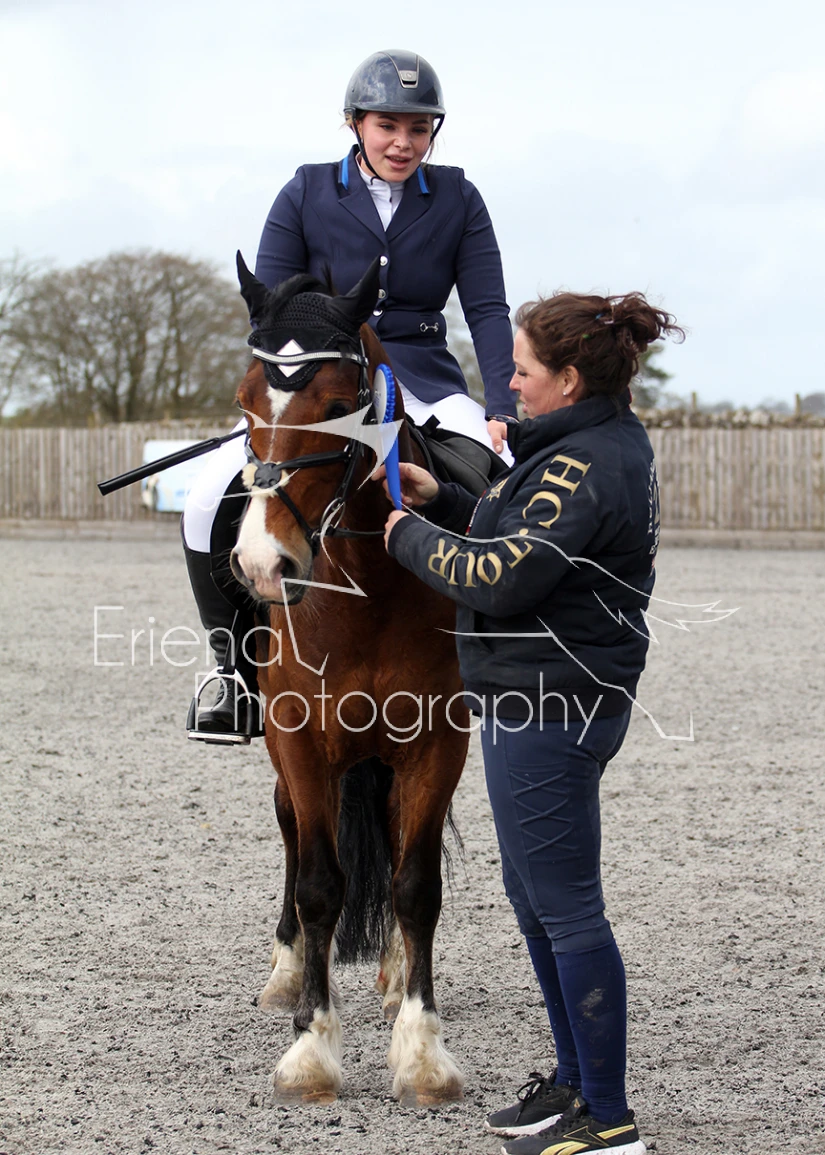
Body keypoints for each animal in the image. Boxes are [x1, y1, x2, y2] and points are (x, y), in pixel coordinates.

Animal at [227, 253, 470, 1105]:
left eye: (339, 408)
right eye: (244, 402)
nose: (263, 564)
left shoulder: (437, 742)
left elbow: (415, 883)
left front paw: (423, 1052)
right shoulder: (299, 740)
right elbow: (318, 883)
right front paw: (310, 1047)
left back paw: (395, 977)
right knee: (292, 835)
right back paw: (287, 970)